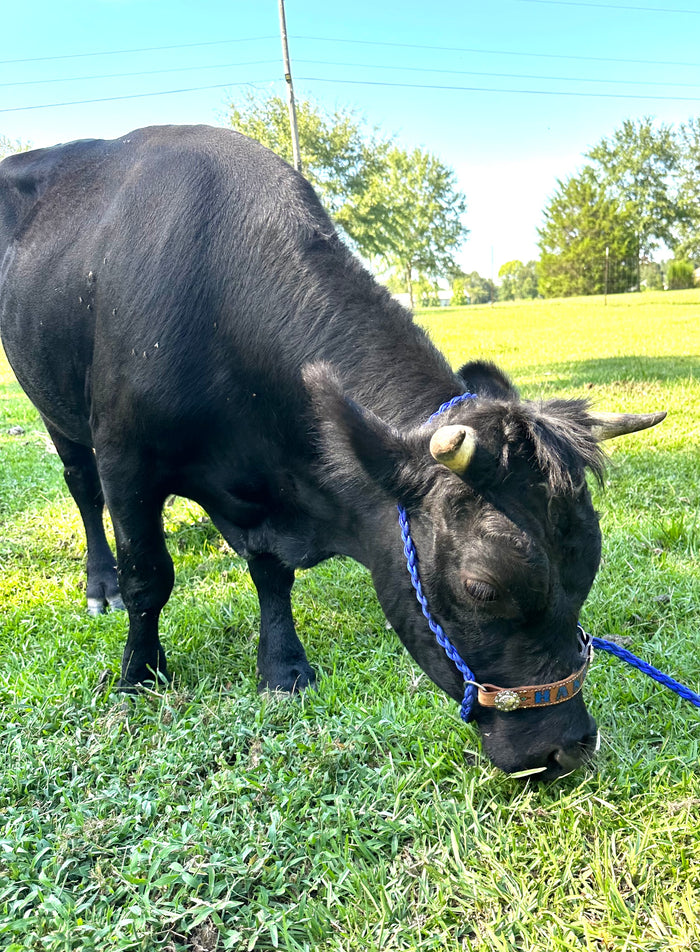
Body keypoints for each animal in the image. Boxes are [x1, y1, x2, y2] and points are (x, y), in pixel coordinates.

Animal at [0, 125, 664, 780]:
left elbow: (271, 573)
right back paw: (100, 585)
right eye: (483, 587)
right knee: (82, 488)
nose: (570, 746)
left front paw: (283, 667)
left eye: (588, 566)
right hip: (55, 408)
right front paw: (138, 676)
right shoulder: (127, 457)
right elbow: (149, 576)